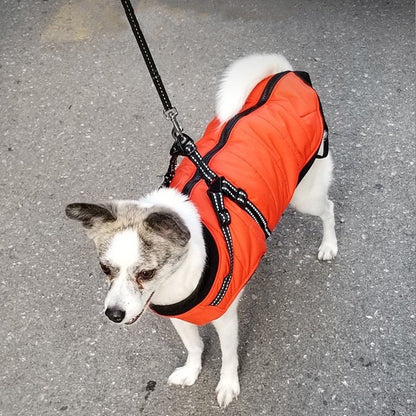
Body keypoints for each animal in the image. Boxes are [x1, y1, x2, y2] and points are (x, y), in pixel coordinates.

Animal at [66, 53, 338, 408]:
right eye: (104, 268)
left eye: (146, 273)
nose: (113, 314)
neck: (177, 280)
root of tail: (284, 75)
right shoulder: (179, 317)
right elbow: (194, 346)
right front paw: (192, 371)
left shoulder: (225, 319)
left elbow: (229, 356)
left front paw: (227, 384)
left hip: (305, 196)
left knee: (328, 208)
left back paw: (329, 244)